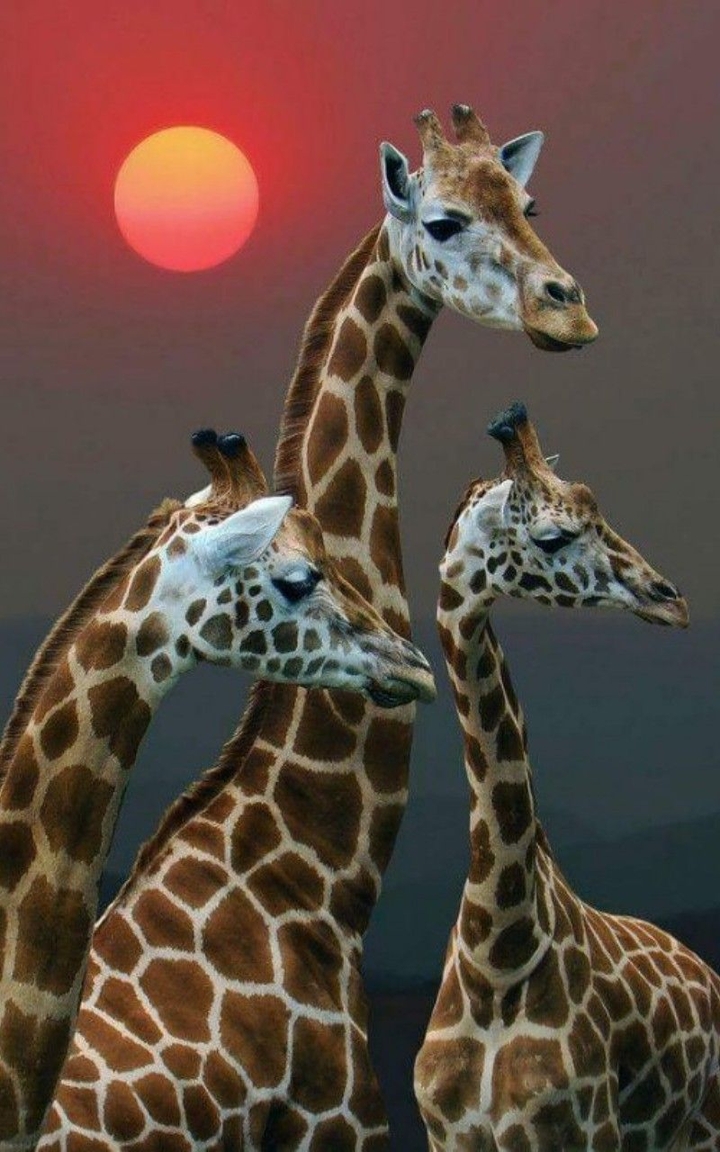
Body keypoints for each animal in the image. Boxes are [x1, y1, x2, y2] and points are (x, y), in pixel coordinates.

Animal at [414, 402, 720, 1151]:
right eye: (553, 537)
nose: (671, 600)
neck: (498, 949)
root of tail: (706, 971)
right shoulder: (447, 1135)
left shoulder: (580, 1129)